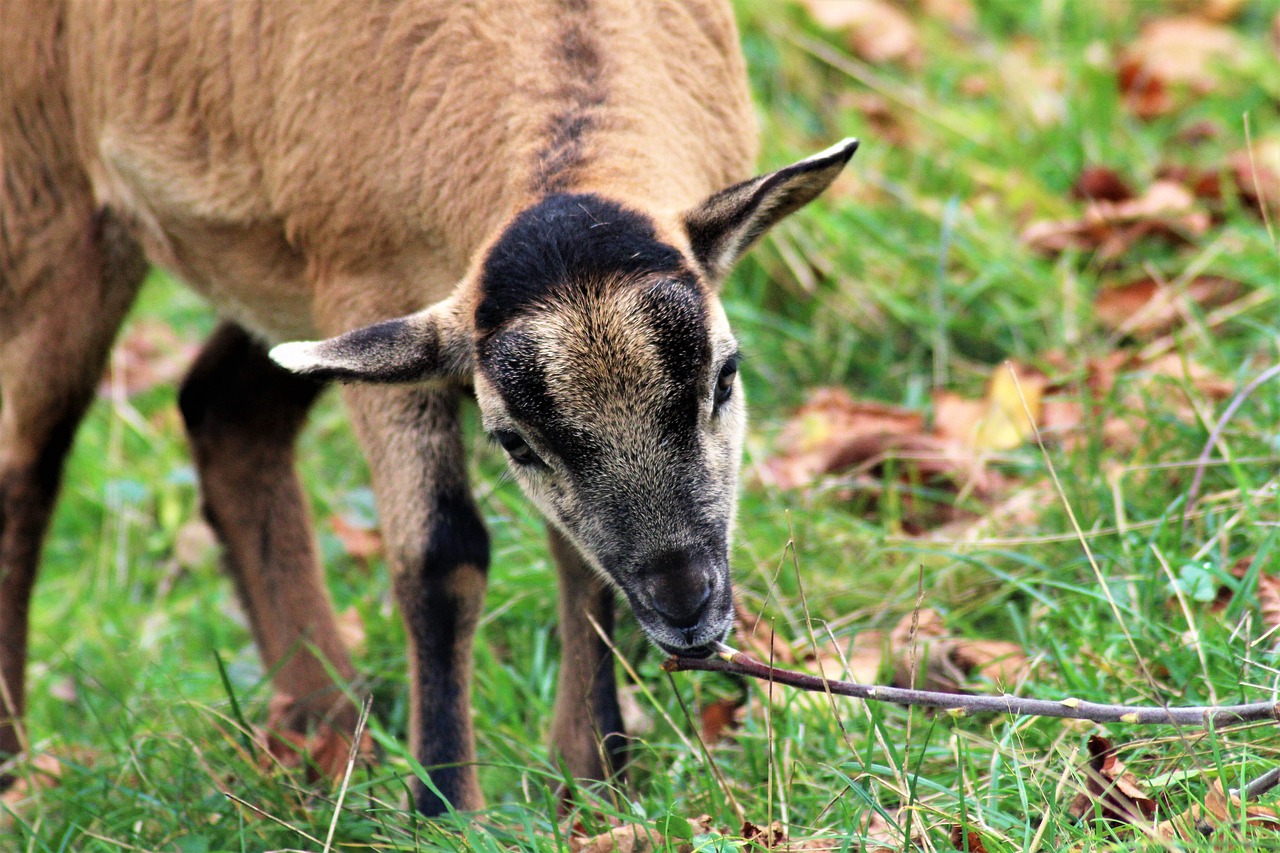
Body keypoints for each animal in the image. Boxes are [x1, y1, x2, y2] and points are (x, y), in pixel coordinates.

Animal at [2, 0, 860, 809]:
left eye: (725, 375)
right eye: (513, 441)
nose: (686, 604)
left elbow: (577, 558)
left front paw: (591, 780)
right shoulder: (366, 289)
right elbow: (440, 557)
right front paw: (447, 803)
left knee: (223, 411)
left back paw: (329, 731)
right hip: (49, 207)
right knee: (25, 465)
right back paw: (18, 762)